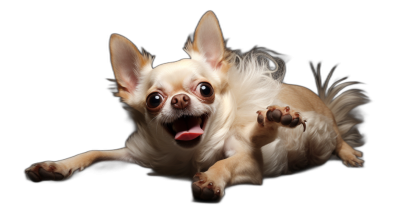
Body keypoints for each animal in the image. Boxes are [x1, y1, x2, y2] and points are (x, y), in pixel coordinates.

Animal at [25, 10, 368, 203]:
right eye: (154, 99)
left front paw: (210, 179)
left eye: (205, 89)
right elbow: (93, 152)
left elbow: (225, 164)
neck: (189, 154)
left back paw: (288, 123)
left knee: (335, 137)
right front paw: (56, 167)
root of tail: (315, 95)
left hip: (321, 131)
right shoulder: (138, 154)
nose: (179, 99)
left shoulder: (248, 160)